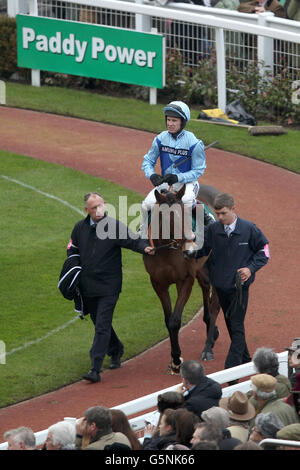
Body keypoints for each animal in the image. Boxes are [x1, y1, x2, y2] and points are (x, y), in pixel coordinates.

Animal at [142, 184, 221, 374]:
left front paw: (177, 359)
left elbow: (175, 321)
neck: (165, 251)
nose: (191, 249)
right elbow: (167, 319)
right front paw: (174, 359)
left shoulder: (185, 280)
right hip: (201, 268)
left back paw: (208, 348)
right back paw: (211, 327)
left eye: (186, 214)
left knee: (215, 305)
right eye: (169, 218)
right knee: (205, 286)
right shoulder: (158, 283)